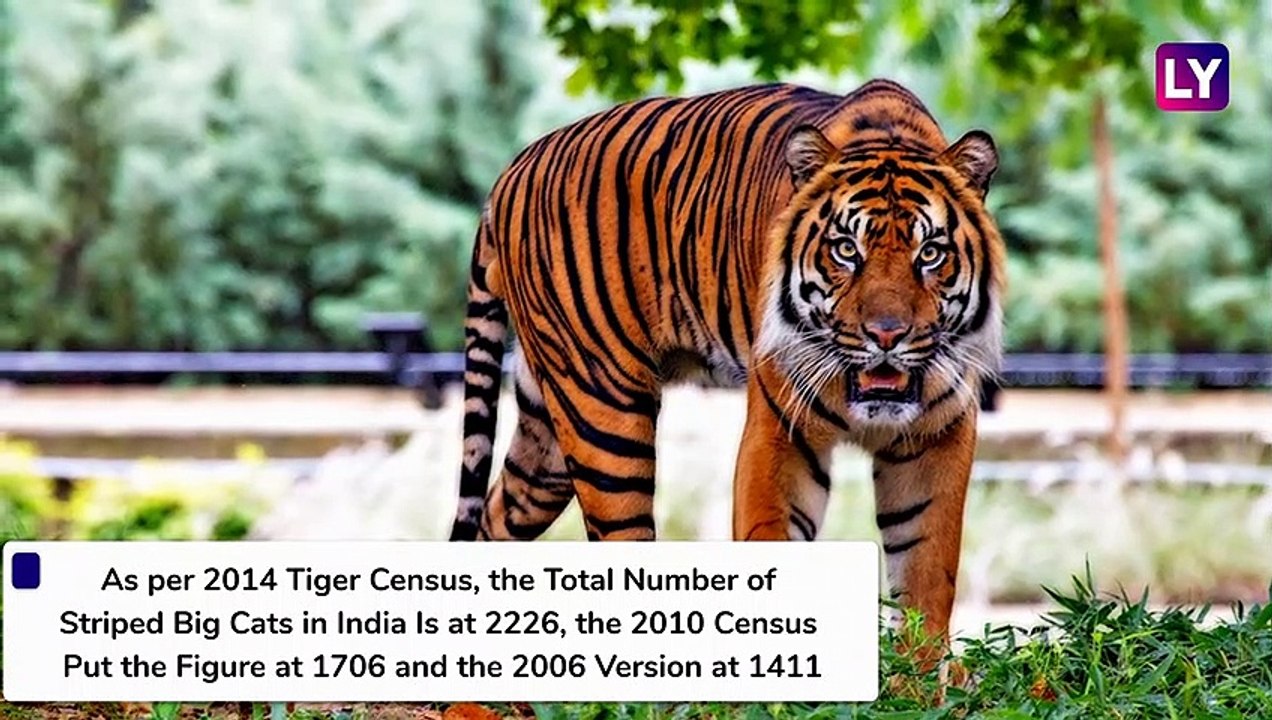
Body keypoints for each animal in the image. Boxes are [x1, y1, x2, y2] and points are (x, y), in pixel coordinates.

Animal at [448, 79, 1005, 651]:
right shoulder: (780, 432)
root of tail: (513, 169)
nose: (887, 335)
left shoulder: (937, 436)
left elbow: (926, 574)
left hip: (548, 445)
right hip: (603, 413)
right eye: (846, 250)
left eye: (930, 253)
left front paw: (918, 674)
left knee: (496, 519)